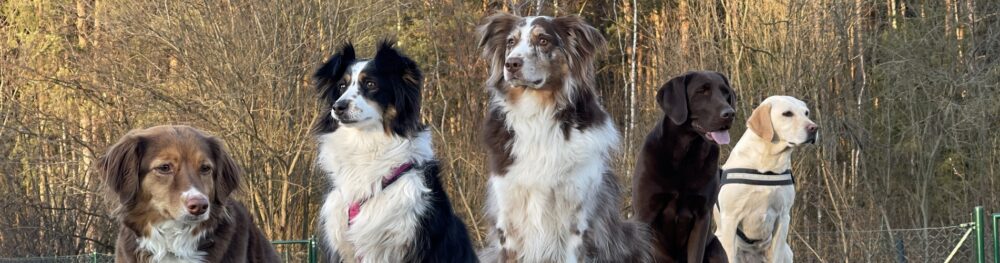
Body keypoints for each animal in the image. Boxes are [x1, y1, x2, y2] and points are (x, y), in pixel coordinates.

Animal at [632, 71, 736, 262]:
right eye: (702, 91)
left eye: (726, 93)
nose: (730, 113)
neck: (686, 155)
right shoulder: (645, 213)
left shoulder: (702, 216)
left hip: (716, 250)